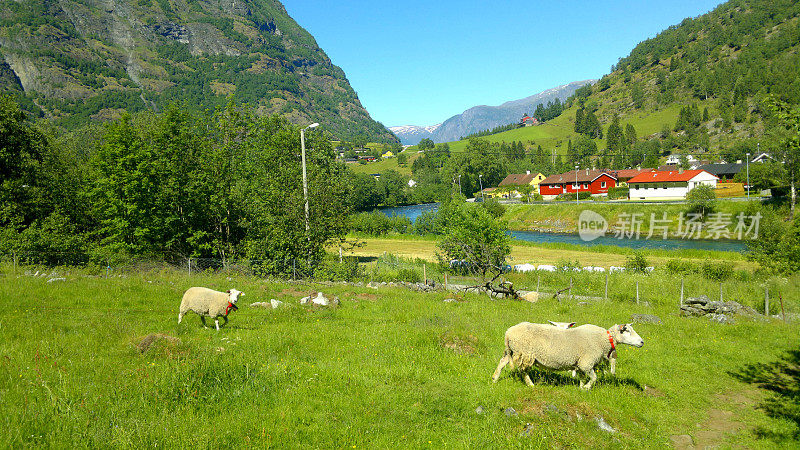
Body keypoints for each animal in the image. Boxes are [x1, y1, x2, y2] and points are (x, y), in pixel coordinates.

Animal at [490, 322, 648, 388]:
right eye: (627, 331)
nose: (642, 342)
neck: (604, 339)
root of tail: (508, 333)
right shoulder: (587, 362)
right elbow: (594, 378)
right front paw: (586, 388)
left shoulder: (582, 364)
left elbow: (583, 377)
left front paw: (581, 387)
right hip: (525, 353)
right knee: (523, 371)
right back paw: (531, 384)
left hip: (512, 351)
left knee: (502, 362)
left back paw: (494, 379)